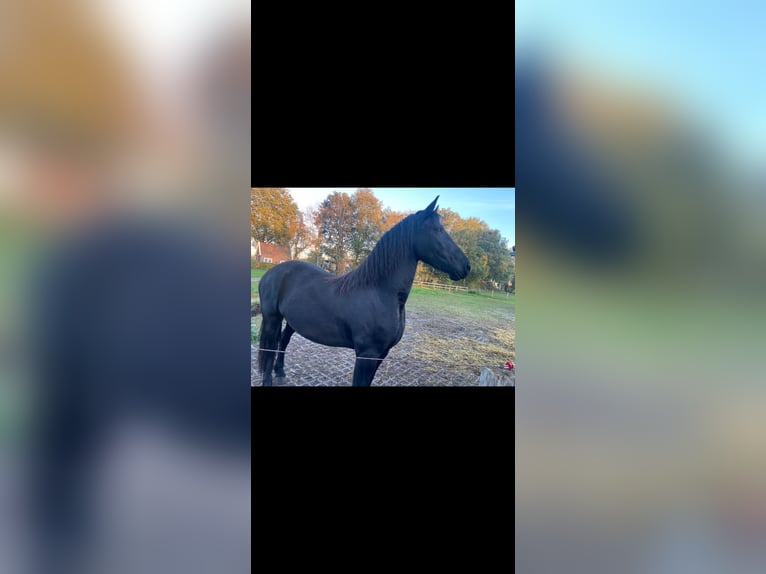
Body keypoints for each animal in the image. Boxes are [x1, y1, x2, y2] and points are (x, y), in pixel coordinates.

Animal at [257, 196, 471, 386]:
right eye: (437, 230)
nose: (466, 266)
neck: (380, 293)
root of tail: (271, 273)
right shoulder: (367, 355)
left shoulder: (380, 355)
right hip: (272, 318)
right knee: (269, 349)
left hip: (291, 320)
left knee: (283, 342)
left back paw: (280, 373)